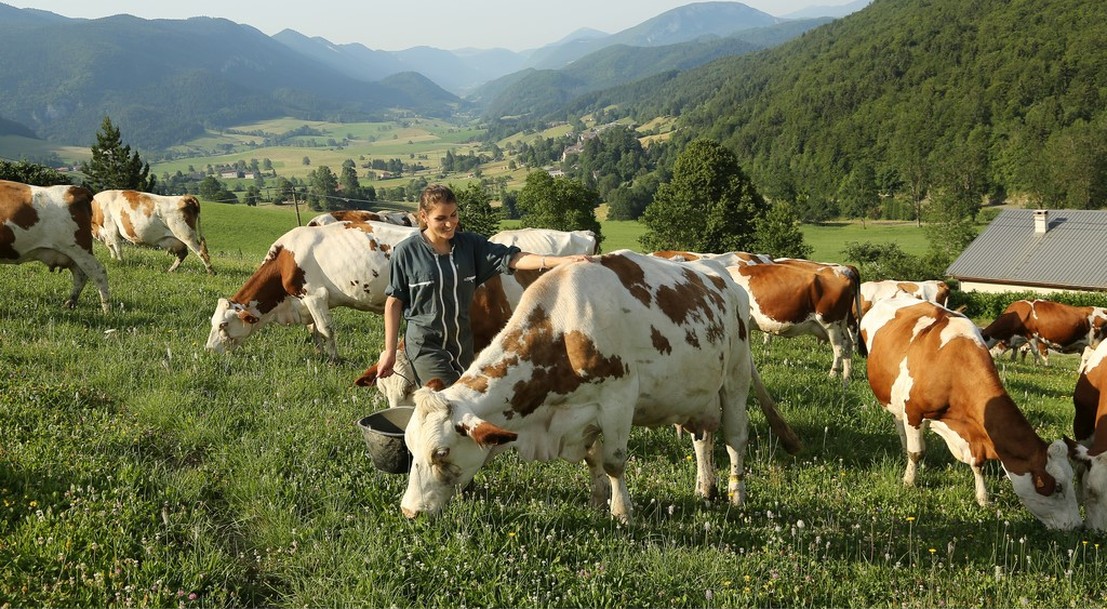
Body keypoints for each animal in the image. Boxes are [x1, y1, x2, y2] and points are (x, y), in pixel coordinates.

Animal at [0, 177, 110, 310]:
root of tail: (75, 189)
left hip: (80, 249)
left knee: (99, 273)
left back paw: (106, 309)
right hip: (73, 254)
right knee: (80, 274)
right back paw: (70, 302)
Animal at [202, 220, 411, 360]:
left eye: (223, 324)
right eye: (212, 322)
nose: (209, 350)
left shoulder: (315, 295)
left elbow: (326, 329)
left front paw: (334, 360)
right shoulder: (304, 303)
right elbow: (313, 329)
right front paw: (320, 354)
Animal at [402, 250, 801, 522]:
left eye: (441, 453)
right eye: (409, 446)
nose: (409, 511)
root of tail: (720, 273)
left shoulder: (618, 401)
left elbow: (613, 461)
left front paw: (622, 512)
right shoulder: (583, 410)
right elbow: (592, 458)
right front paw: (597, 501)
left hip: (735, 376)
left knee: (735, 439)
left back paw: (737, 494)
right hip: (695, 391)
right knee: (702, 436)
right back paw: (705, 488)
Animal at [863, 296, 1080, 529]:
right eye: (1057, 486)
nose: (1077, 526)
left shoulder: (975, 431)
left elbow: (978, 464)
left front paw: (983, 498)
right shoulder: (913, 411)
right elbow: (917, 452)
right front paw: (909, 481)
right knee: (900, 425)